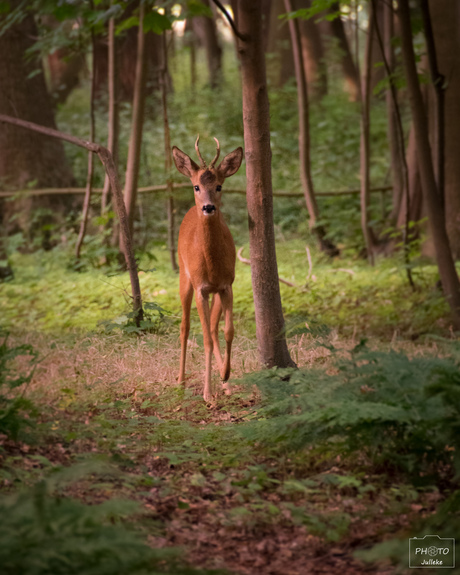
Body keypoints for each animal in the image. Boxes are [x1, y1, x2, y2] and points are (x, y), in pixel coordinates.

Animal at [172, 137, 244, 402]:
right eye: (196, 186)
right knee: (184, 327)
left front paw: (225, 376)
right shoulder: (201, 288)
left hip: (215, 293)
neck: (212, 265)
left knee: (213, 329)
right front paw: (207, 393)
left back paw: (226, 384)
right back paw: (181, 381)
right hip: (184, 277)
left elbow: (227, 331)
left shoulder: (226, 285)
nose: (208, 207)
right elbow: (204, 339)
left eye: (220, 186)